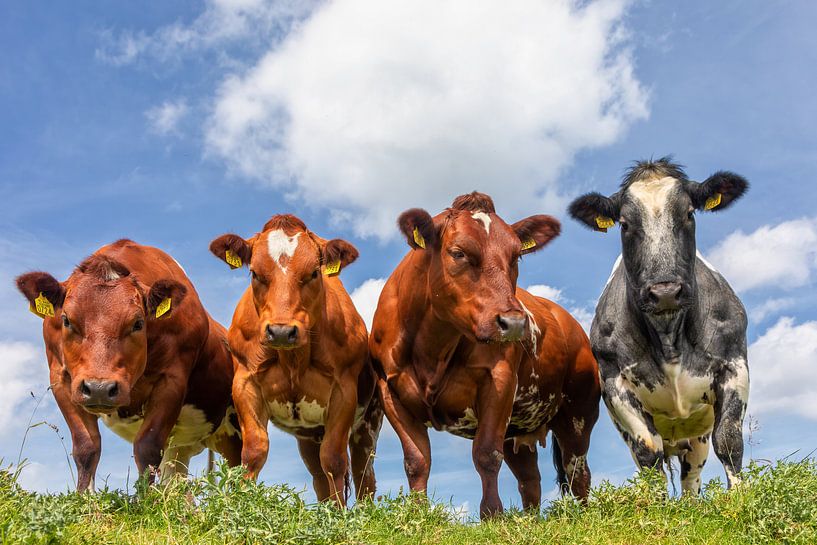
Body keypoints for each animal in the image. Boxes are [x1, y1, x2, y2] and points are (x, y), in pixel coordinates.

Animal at [15, 239, 242, 488]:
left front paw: (146, 497)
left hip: (234, 431)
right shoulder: (61, 378)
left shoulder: (172, 380)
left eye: (138, 323)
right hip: (180, 447)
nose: (99, 389)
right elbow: (86, 447)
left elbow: (147, 447)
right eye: (66, 320)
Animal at [207, 215, 380, 504]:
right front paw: (244, 505)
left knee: (362, 473)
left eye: (313, 273)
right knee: (320, 477)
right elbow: (253, 453)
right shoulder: (245, 384)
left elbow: (334, 460)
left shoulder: (344, 392)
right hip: (309, 435)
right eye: (255, 273)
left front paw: (340, 513)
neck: (293, 359)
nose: (281, 331)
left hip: (368, 422)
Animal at [370, 192, 600, 520]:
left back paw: (582, 516)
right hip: (519, 429)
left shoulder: (499, 381)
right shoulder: (390, 390)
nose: (514, 322)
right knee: (530, 479)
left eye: (516, 256)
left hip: (578, 413)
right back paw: (530, 520)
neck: (431, 349)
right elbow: (416, 460)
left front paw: (492, 515)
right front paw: (419, 514)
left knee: (577, 471)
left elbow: (486, 454)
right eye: (458, 253)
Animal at [568, 157, 744, 492]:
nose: (665, 292)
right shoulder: (615, 383)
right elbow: (648, 454)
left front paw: (741, 498)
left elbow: (729, 440)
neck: (668, 337)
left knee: (691, 478)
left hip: (696, 439)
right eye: (625, 224)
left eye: (689, 213)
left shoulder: (734, 364)